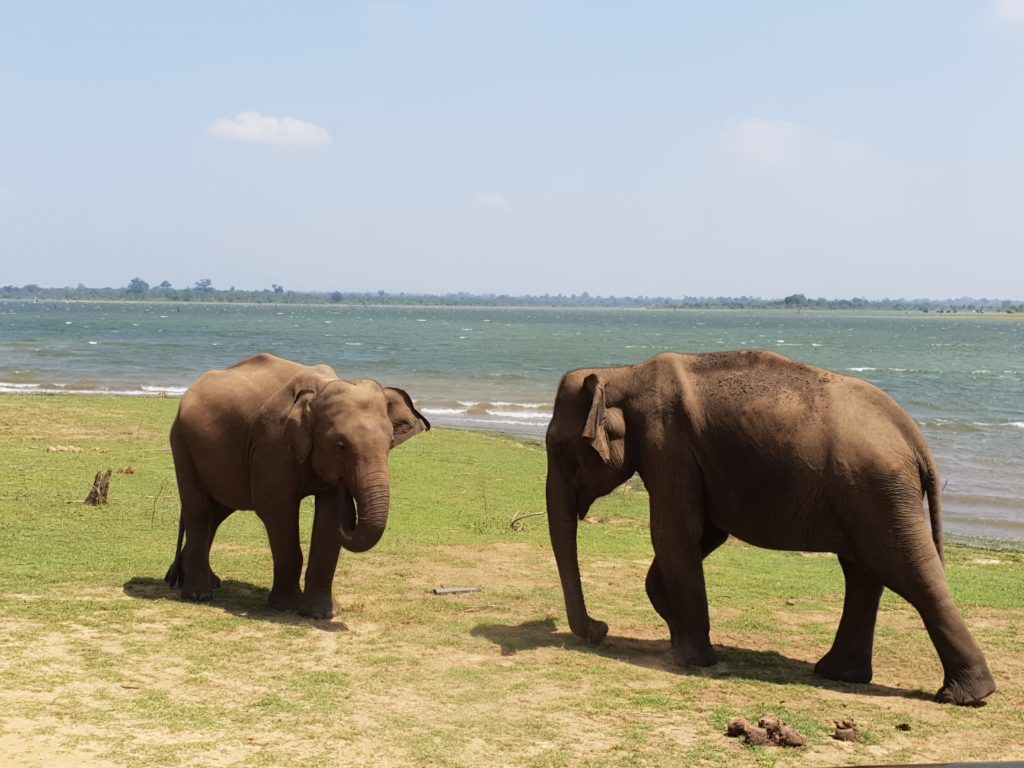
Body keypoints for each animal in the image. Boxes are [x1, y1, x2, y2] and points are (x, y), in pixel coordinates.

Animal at [160, 354, 432, 618]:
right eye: (341, 446)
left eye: (390, 442)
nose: (346, 487)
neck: (320, 390)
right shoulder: (274, 444)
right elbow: (277, 510)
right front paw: (286, 606)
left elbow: (329, 517)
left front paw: (322, 614)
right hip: (182, 442)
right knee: (199, 508)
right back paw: (198, 595)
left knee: (218, 512)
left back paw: (199, 580)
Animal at [548, 352, 995, 708]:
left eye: (562, 448)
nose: (600, 630)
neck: (623, 373)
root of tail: (915, 437)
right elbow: (704, 533)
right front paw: (677, 636)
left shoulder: (668, 446)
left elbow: (675, 533)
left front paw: (688, 658)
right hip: (866, 495)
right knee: (864, 573)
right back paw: (839, 674)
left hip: (876, 491)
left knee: (908, 572)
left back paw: (965, 695)